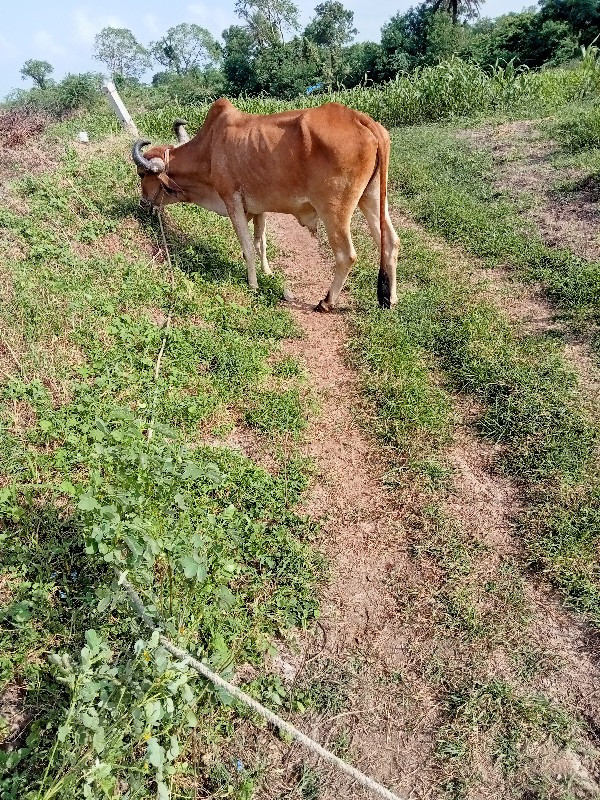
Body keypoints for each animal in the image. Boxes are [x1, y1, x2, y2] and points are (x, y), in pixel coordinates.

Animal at [134, 98, 400, 310]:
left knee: (346, 255)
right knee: (391, 243)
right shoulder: (258, 208)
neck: (209, 151)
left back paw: (326, 302)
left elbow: (247, 248)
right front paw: (267, 272)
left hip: (334, 210)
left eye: (141, 174)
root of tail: (361, 119)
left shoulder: (232, 200)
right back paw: (390, 299)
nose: (143, 204)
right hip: (372, 197)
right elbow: (260, 242)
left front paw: (252, 285)